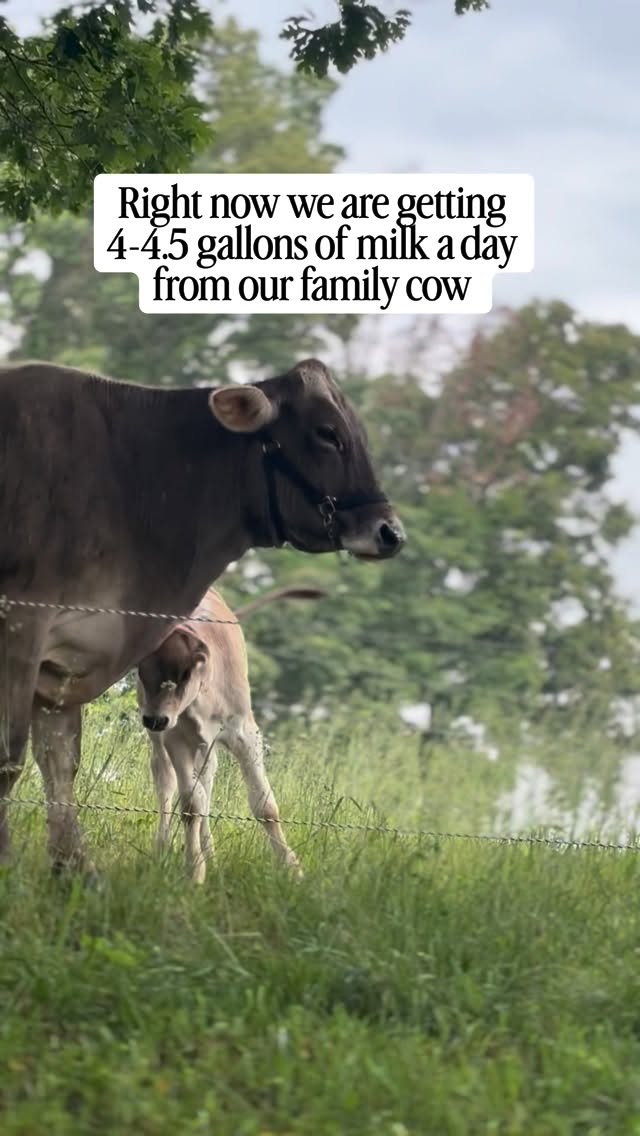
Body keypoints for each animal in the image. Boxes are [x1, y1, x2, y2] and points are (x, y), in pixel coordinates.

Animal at [137, 584, 324, 883]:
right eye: (142, 672)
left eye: (185, 673)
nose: (155, 718)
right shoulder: (176, 738)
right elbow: (190, 805)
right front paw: (194, 871)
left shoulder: (245, 734)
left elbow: (265, 804)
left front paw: (292, 868)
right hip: (161, 740)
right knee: (164, 778)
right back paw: (163, 846)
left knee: (206, 780)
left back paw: (210, 852)